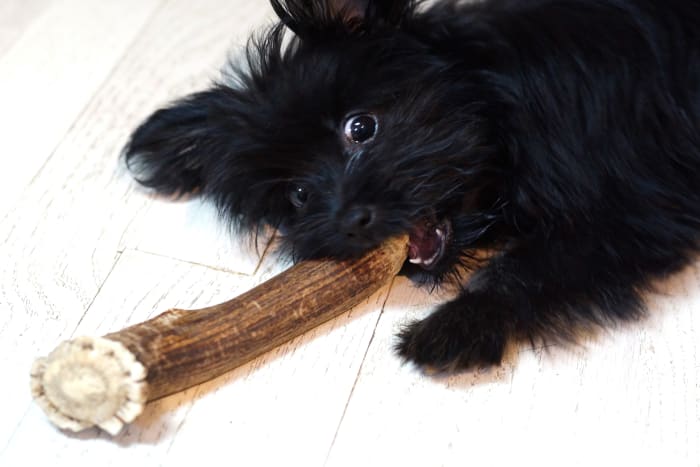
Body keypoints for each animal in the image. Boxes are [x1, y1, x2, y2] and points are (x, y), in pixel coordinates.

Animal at [123, 0, 700, 372]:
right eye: (299, 197)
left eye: (361, 127)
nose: (349, 220)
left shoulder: (631, 210)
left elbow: (530, 266)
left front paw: (456, 327)